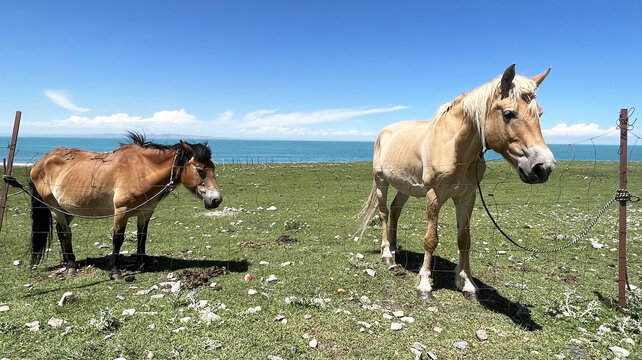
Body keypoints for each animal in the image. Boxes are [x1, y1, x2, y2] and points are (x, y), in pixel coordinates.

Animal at [28, 132, 221, 278]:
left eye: (213, 168)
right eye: (200, 170)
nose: (216, 200)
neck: (142, 170)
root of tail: (40, 162)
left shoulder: (146, 212)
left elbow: (142, 237)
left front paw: (143, 264)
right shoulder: (121, 211)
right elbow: (118, 239)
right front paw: (115, 271)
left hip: (68, 209)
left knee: (61, 231)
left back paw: (68, 260)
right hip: (54, 207)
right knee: (65, 233)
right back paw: (70, 265)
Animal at [358, 64, 552, 300]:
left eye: (539, 113)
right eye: (508, 114)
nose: (543, 167)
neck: (454, 147)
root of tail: (385, 132)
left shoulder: (466, 197)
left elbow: (464, 240)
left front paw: (466, 283)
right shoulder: (433, 196)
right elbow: (431, 239)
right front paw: (424, 284)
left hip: (406, 186)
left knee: (395, 210)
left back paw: (394, 249)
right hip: (381, 182)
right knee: (384, 213)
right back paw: (387, 253)